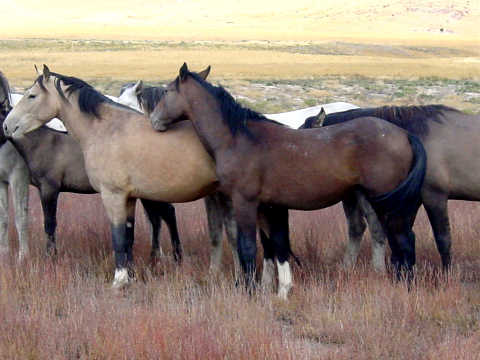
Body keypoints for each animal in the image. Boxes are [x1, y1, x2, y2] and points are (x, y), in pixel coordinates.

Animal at [0, 71, 182, 262]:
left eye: (32, 95)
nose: (6, 127)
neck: (43, 142)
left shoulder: (48, 188)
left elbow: (48, 223)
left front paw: (49, 256)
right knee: (157, 218)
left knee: (166, 213)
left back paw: (174, 256)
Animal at [151, 62, 428, 286]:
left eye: (167, 91)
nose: (154, 120)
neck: (239, 139)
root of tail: (403, 134)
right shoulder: (265, 206)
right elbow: (270, 247)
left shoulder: (244, 203)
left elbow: (248, 247)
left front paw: (249, 289)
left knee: (403, 238)